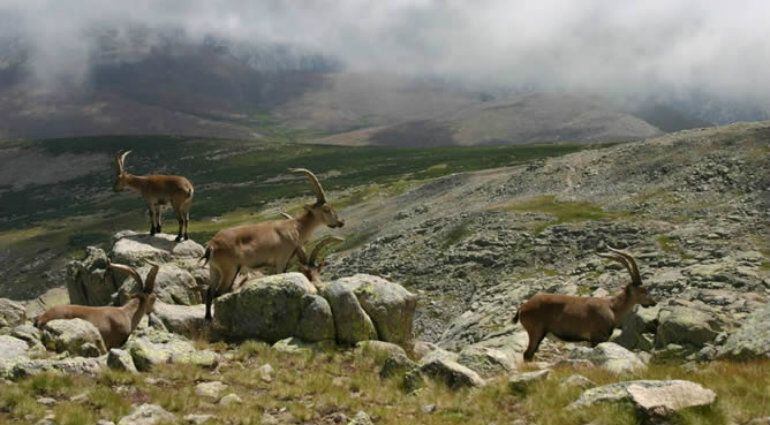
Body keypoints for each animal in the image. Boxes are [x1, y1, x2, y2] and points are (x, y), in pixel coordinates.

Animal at [201, 167, 342, 320]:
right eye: (326, 209)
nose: (341, 222)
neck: (296, 228)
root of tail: (212, 245)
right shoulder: (281, 260)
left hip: (214, 270)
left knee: (209, 291)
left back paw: (208, 318)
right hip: (229, 269)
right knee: (219, 292)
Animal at [510, 247, 656, 360]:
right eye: (643, 290)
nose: (653, 302)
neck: (612, 308)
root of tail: (523, 306)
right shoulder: (596, 338)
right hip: (536, 332)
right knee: (527, 354)